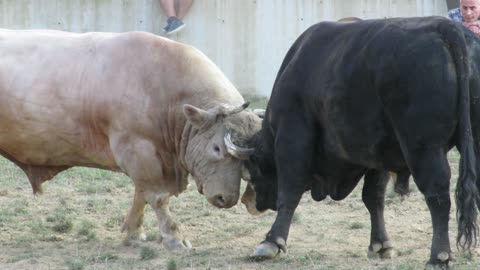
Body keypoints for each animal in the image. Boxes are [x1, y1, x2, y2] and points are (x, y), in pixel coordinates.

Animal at [246, 16, 480, 268]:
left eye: (254, 170)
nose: (258, 203)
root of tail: (444, 27)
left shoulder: (293, 135)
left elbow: (290, 189)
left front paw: (272, 241)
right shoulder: (377, 154)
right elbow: (373, 197)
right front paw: (380, 244)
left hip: (424, 149)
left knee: (437, 195)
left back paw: (438, 255)